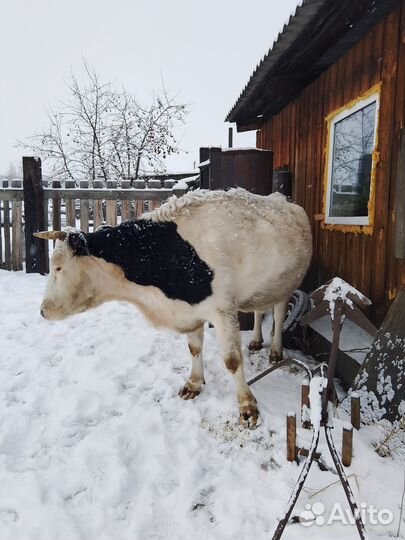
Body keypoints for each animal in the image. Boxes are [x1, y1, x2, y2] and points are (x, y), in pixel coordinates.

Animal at [35, 188, 312, 428]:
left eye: (58, 267)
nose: (43, 311)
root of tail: (283, 198)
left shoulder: (222, 310)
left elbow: (232, 360)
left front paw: (247, 407)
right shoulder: (191, 309)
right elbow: (194, 349)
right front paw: (194, 384)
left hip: (286, 284)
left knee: (278, 313)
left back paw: (275, 351)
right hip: (263, 289)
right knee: (258, 310)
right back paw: (255, 340)